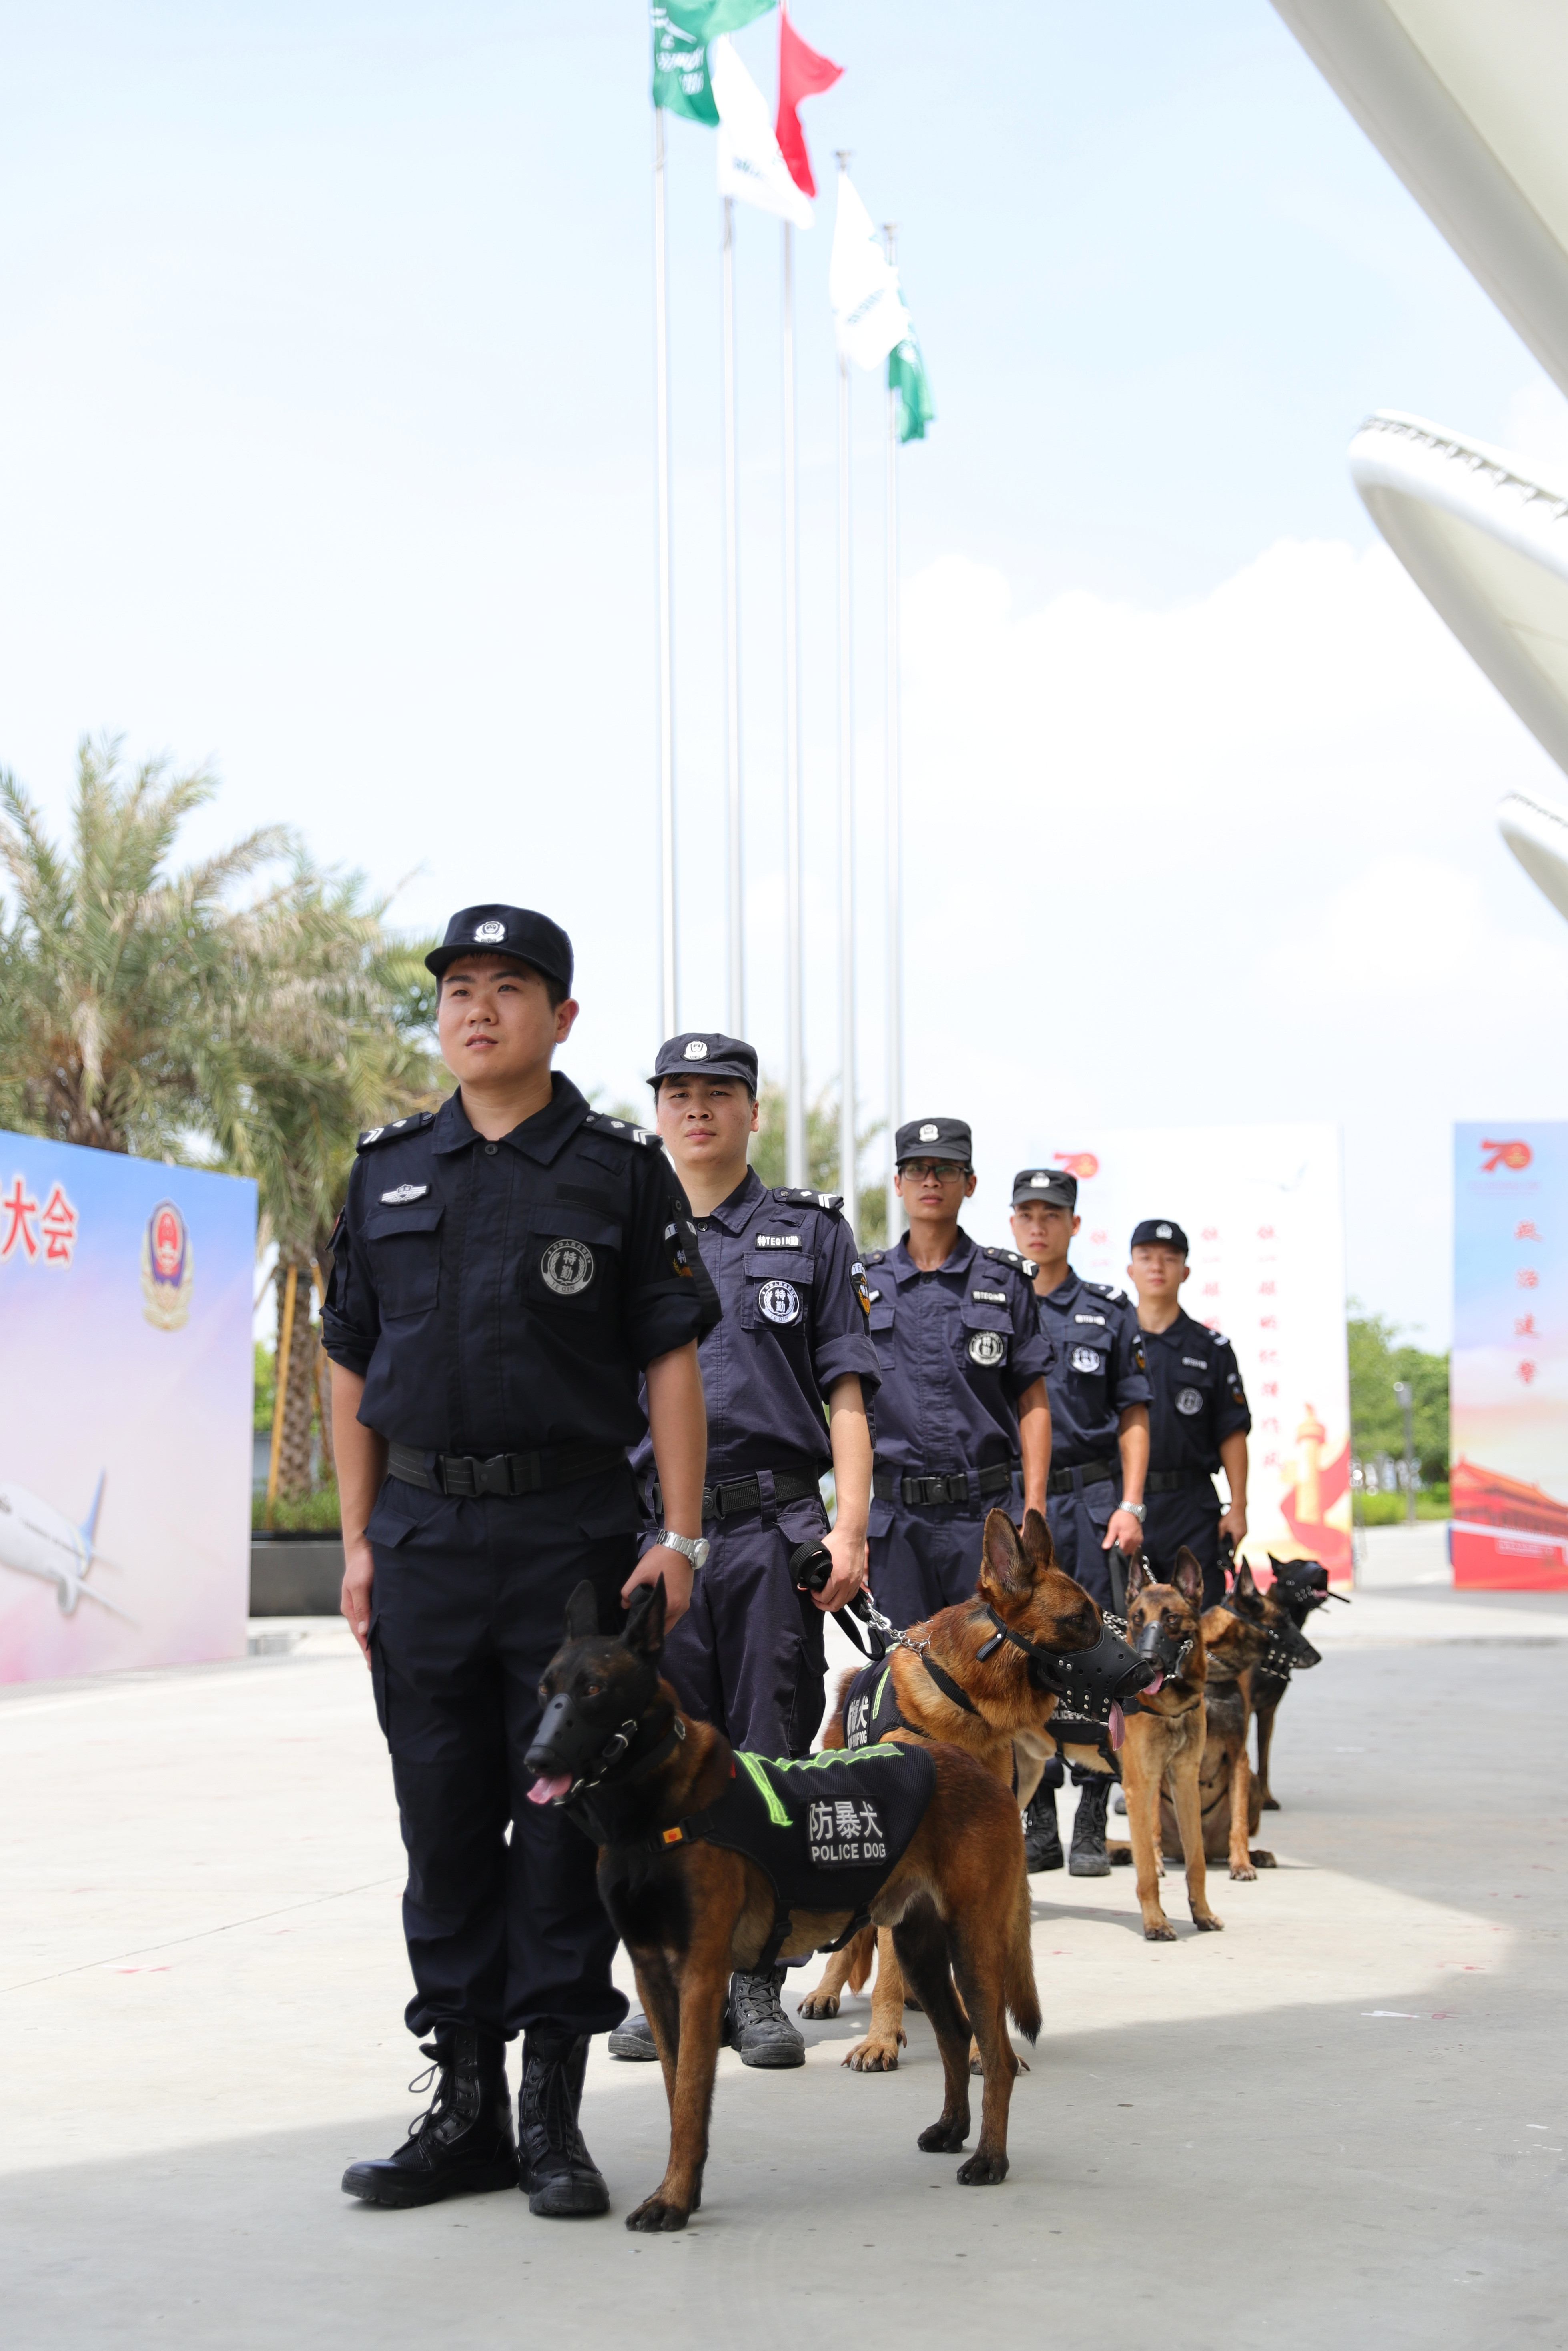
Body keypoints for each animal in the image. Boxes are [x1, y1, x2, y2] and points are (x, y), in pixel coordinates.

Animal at [524, 1570, 1044, 2229]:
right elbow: (674, 2090)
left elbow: (690, 2095)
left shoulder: (699, 1977)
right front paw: (681, 2188)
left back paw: (990, 2158)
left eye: (593, 1689)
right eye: (545, 1691)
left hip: (971, 1945)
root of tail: (981, 1768)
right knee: (953, 2034)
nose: (535, 1759)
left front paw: (672, 2200)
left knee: (994, 2053)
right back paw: (953, 2129)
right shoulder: (653, 1976)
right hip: (920, 1949)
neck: (655, 1812)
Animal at [799, 1514, 1142, 2069]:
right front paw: (880, 2038)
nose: (1152, 1673)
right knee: (857, 1942)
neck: (964, 1701)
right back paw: (830, 1992)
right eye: (1078, 1620)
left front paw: (986, 2045)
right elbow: (885, 1968)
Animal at [1105, 1551, 1222, 1937]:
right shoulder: (1140, 1788)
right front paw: (1155, 1921)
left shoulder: (1185, 1781)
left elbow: (1197, 1860)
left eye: (1171, 1619)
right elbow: (1145, 1869)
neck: (1169, 1708)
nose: (1148, 1661)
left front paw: (1202, 1913)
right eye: (1137, 1619)